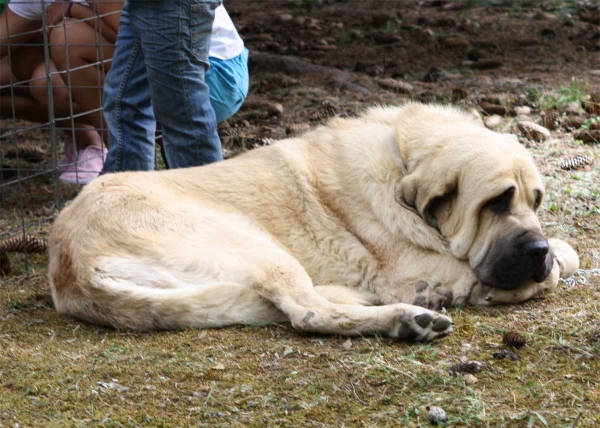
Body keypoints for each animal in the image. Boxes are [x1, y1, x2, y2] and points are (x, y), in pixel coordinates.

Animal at [49, 103, 580, 342]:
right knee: (306, 314)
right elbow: (557, 269)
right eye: (496, 202)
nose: (535, 251)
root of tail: (70, 265)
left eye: (534, 199)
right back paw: (409, 319)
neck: (403, 161)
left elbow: (566, 254)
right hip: (259, 247)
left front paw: (552, 253)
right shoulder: (423, 266)